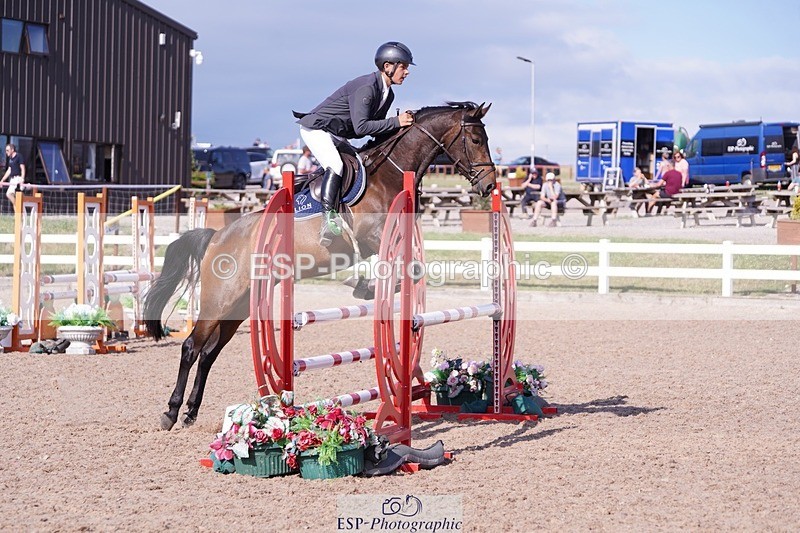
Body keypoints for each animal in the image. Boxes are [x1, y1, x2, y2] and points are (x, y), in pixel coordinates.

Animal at [144, 101, 498, 431]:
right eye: (476, 139)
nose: (490, 187)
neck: (390, 175)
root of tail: (217, 236)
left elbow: (410, 270)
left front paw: (370, 288)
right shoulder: (371, 236)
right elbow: (402, 271)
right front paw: (365, 287)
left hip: (240, 304)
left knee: (209, 353)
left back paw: (191, 412)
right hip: (219, 299)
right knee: (192, 347)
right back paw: (171, 412)